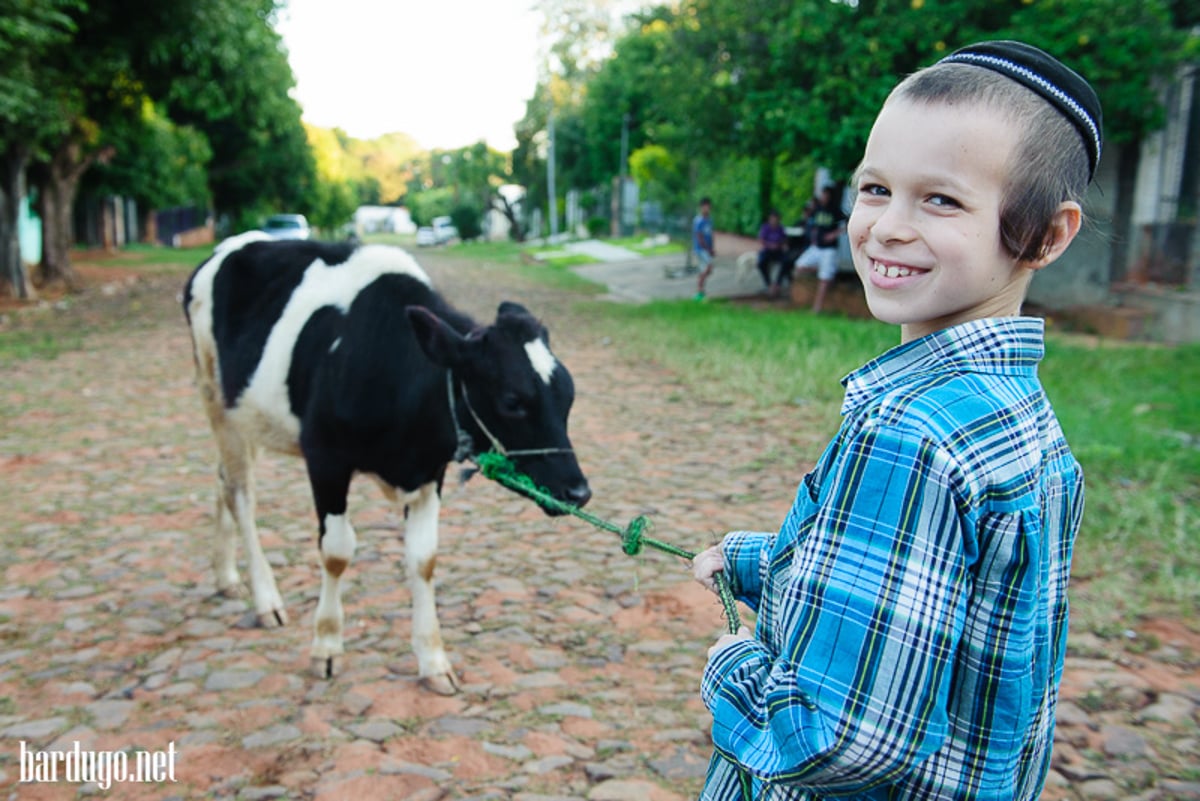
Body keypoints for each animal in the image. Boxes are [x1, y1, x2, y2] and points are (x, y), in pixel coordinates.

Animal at [182, 227, 590, 690]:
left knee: (223, 480)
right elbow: (336, 551)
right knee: (241, 494)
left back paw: (226, 577)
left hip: (242, 411)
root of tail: (229, 245)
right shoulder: (325, 458)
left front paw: (434, 661)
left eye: (569, 395)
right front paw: (327, 646)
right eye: (512, 402)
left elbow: (423, 558)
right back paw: (266, 599)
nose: (578, 491)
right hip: (214, 395)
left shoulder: (429, 470)